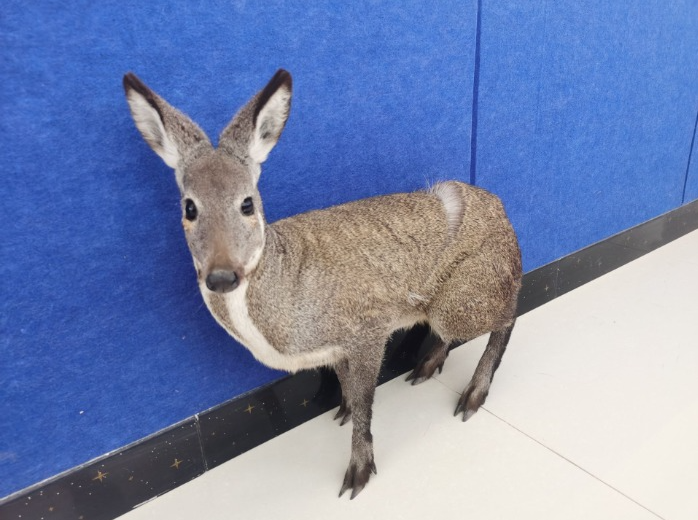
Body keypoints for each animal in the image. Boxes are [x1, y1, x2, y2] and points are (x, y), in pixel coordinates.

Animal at [122, 69, 520, 500]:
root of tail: (507, 222)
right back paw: (426, 368)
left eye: (247, 203)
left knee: (506, 317)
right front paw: (340, 412)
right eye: (189, 207)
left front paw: (358, 474)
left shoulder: (367, 332)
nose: (222, 275)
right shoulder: (339, 350)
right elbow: (346, 388)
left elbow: (365, 402)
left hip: (461, 301)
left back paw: (473, 395)